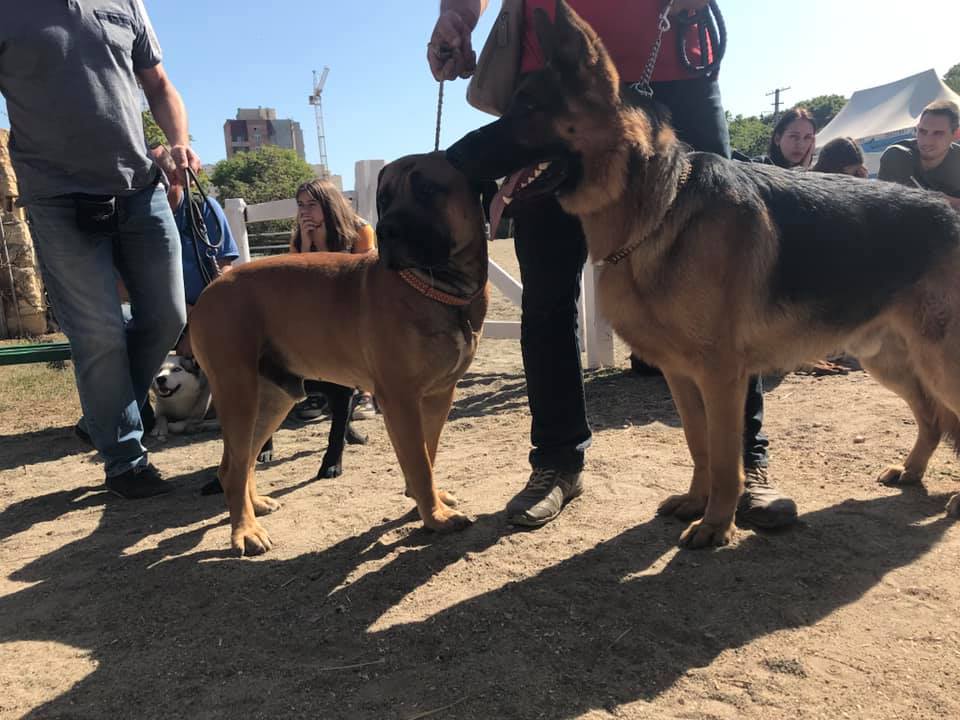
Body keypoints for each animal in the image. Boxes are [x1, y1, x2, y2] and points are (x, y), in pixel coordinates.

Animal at [189, 152, 494, 555]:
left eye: (428, 189)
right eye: (383, 199)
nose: (386, 231)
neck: (437, 289)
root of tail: (209, 290)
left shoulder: (438, 396)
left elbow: (427, 454)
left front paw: (426, 501)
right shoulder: (400, 399)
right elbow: (418, 459)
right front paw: (434, 516)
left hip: (273, 397)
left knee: (240, 462)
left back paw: (254, 506)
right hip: (238, 392)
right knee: (235, 465)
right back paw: (246, 530)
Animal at [447, 1, 960, 548]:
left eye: (528, 108)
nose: (449, 159)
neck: (659, 210)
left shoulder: (721, 377)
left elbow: (726, 457)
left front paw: (716, 524)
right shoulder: (680, 374)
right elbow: (699, 445)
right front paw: (697, 503)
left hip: (937, 362)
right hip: (889, 360)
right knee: (934, 418)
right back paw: (912, 471)